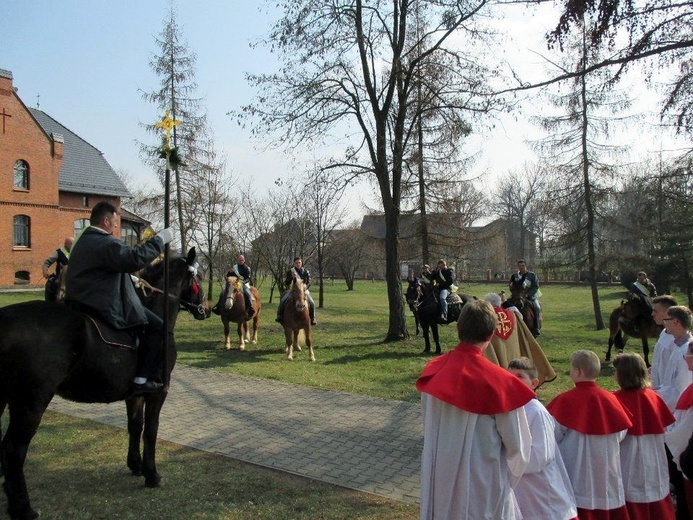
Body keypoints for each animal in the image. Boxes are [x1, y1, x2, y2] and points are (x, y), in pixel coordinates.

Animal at [0, 248, 211, 520]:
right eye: (199, 277)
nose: (206, 309)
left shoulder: (135, 394)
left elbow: (135, 426)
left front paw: (136, 465)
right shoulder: (158, 392)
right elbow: (151, 430)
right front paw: (152, 474)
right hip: (31, 402)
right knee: (14, 450)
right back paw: (23, 508)